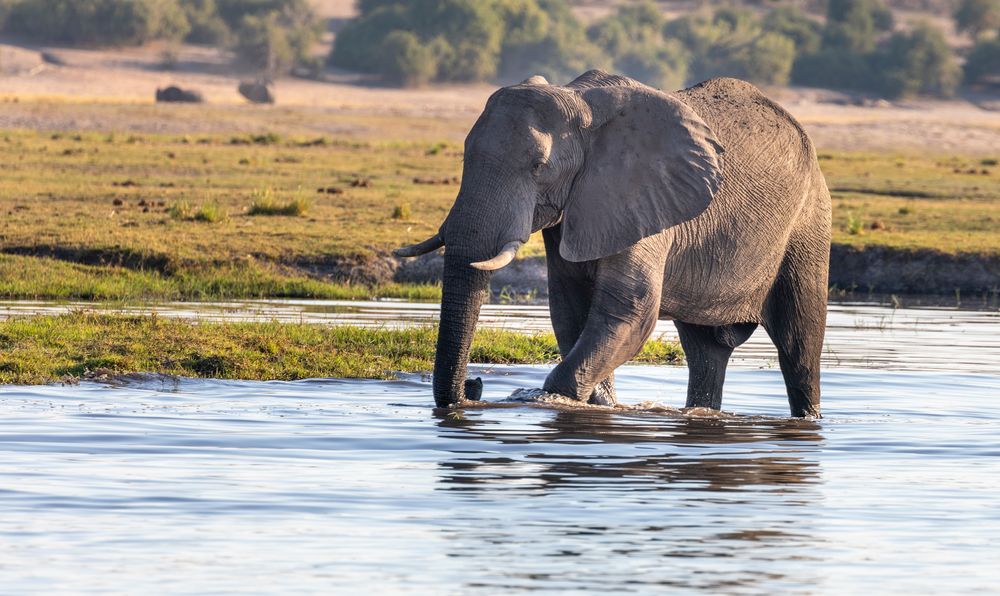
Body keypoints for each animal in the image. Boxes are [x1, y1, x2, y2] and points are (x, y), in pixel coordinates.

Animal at [394, 70, 832, 416]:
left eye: (539, 167)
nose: (473, 386)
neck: (580, 105)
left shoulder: (643, 194)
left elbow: (630, 311)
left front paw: (556, 400)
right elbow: (571, 309)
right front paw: (600, 404)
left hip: (809, 222)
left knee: (798, 348)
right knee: (706, 352)